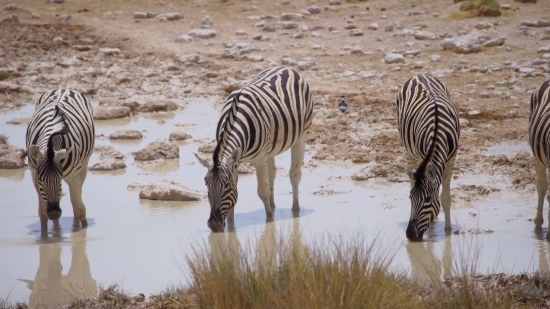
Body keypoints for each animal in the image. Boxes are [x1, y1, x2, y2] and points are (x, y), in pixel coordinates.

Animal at [25, 88, 95, 233]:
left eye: (59, 178)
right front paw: (46, 236)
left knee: (76, 200)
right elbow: (42, 214)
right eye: (41, 179)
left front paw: (82, 231)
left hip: (84, 165)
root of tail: (64, 88)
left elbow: (80, 208)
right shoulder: (35, 176)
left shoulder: (73, 177)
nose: (54, 213)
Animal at [195, 67, 314, 231]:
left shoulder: (260, 159)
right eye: (206, 184)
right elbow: (237, 195)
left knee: (294, 174)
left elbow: (262, 191)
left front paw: (269, 220)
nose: (214, 224)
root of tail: (287, 68)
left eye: (226, 185)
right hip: (271, 147)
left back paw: (295, 210)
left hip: (302, 135)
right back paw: (273, 205)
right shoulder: (236, 161)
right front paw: (231, 227)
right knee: (272, 173)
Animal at [396, 74, 462, 241]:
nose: (410, 235)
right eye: (410, 198)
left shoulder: (451, 160)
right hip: (408, 150)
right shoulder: (421, 157)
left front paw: (447, 230)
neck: (438, 132)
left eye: (427, 200)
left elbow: (445, 198)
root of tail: (418, 75)